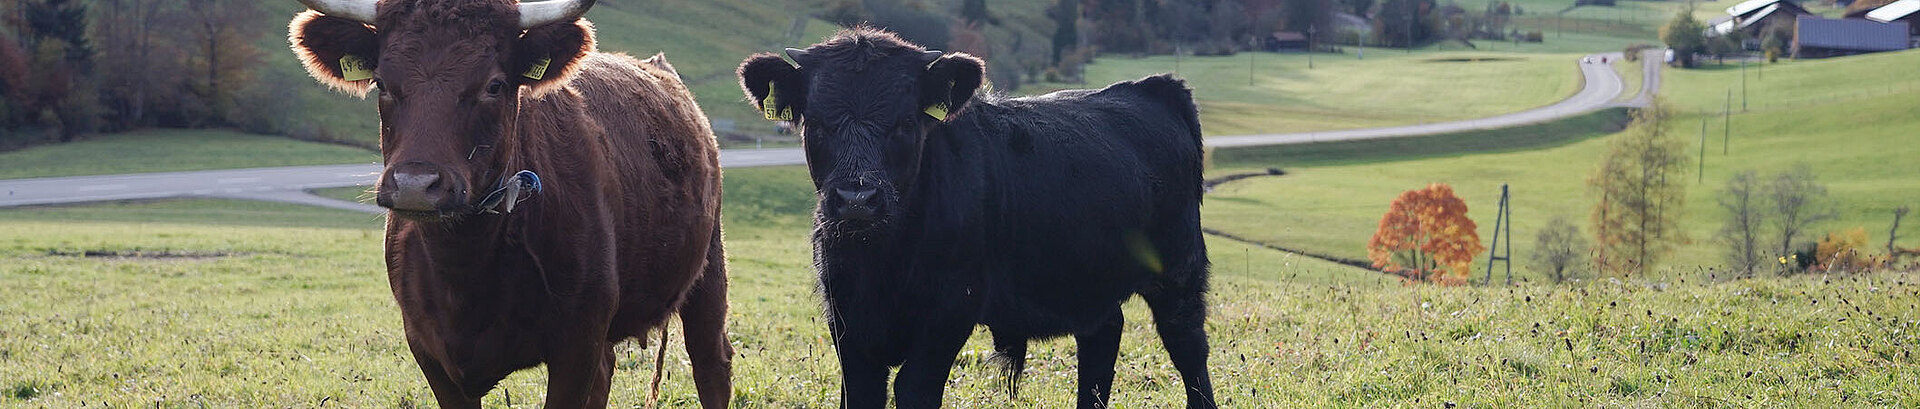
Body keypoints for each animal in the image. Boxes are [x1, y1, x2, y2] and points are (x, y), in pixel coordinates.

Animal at [288, 1, 729, 407]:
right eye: (381, 82)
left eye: (494, 85)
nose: (415, 185)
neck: (465, 271)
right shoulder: (428, 349)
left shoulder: (578, 340)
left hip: (708, 268)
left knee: (711, 363)